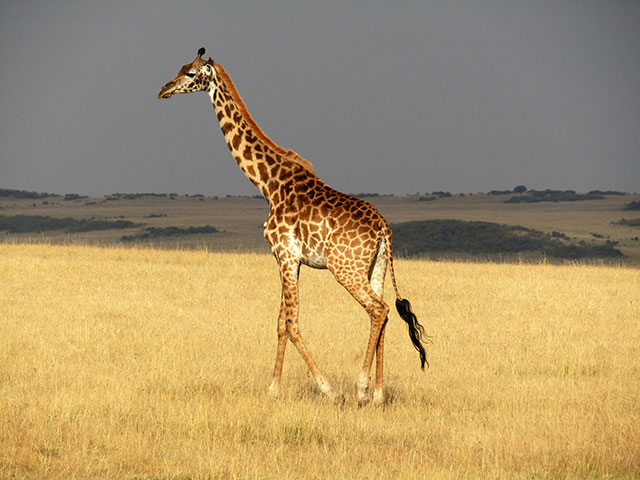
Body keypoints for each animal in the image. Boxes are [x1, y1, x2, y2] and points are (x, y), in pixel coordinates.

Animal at [158, 48, 428, 406]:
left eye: (190, 73)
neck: (267, 183)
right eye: (180, 67)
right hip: (377, 268)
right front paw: (272, 388)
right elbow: (280, 323)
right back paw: (378, 395)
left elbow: (292, 322)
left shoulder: (285, 254)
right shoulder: (288, 259)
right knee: (382, 315)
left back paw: (359, 389)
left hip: (345, 268)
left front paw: (328, 389)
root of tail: (385, 229)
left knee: (378, 309)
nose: (163, 90)